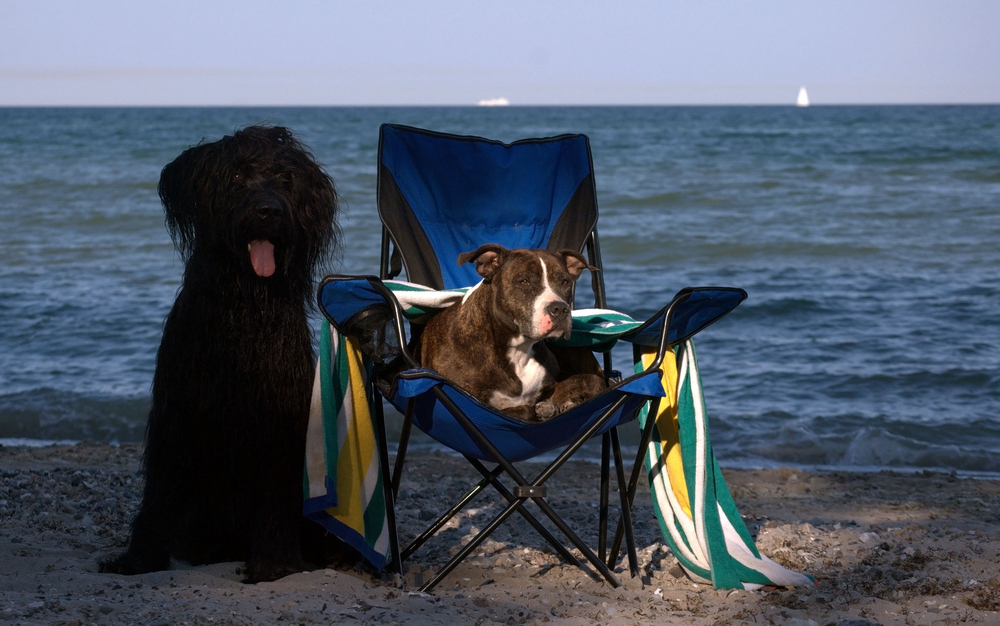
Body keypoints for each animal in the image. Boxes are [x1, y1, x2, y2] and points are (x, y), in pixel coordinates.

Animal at [102, 125, 342, 580]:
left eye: (287, 181)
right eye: (235, 177)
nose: (269, 211)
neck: (243, 307)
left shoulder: (278, 428)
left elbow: (273, 498)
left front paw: (274, 565)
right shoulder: (176, 417)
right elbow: (158, 493)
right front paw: (139, 560)